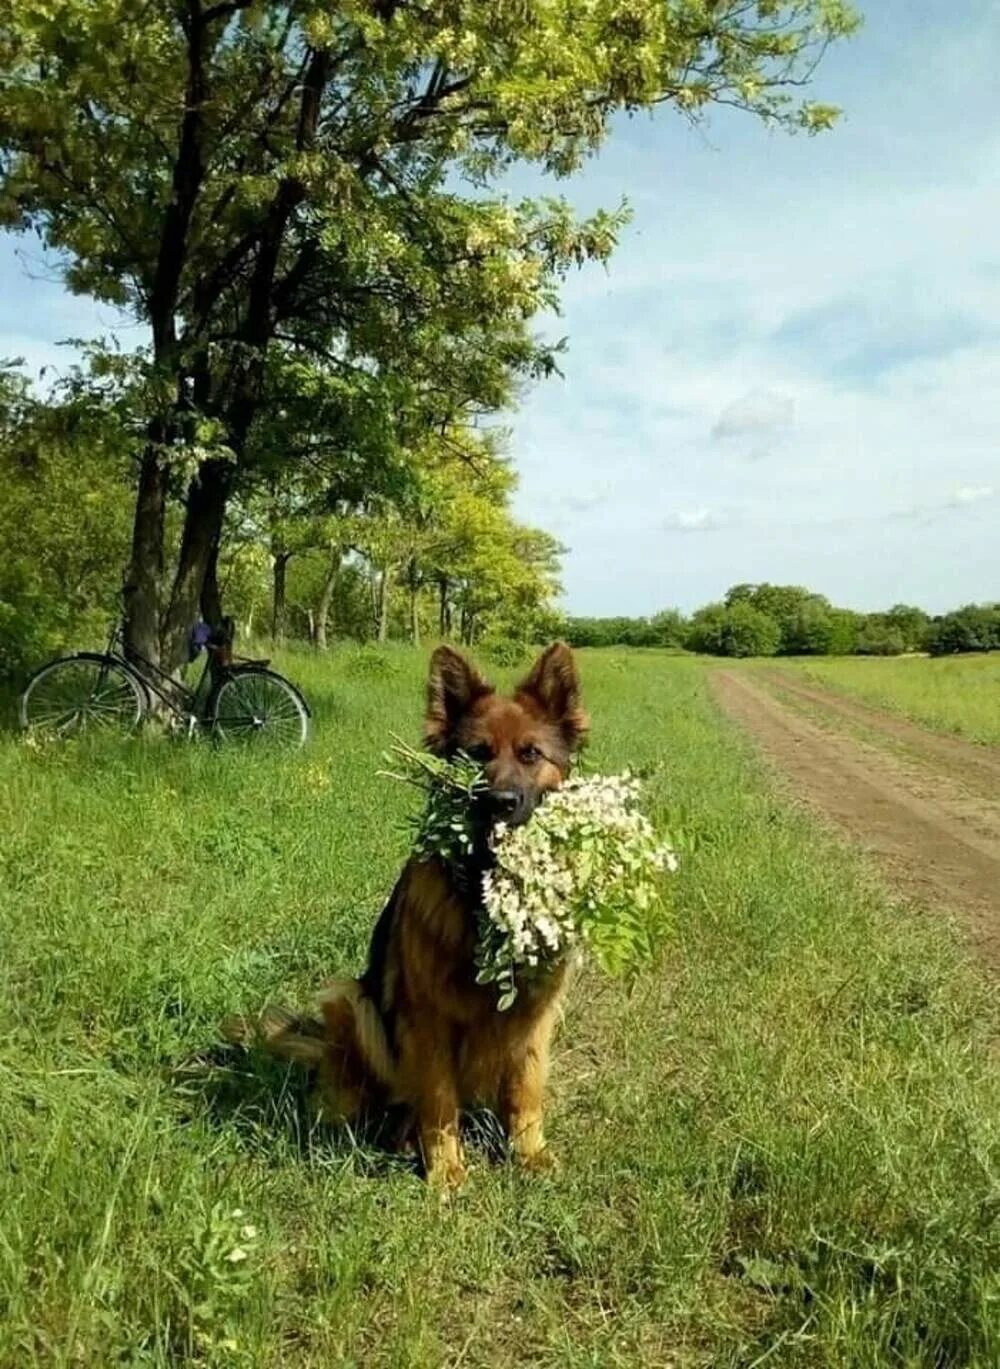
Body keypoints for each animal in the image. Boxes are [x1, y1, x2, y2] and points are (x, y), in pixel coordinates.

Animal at [221, 640, 583, 1188]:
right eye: (476, 755)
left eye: (530, 754)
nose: (500, 803)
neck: (487, 898)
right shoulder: (427, 1021)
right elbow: (438, 1100)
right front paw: (446, 1171)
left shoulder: (534, 1014)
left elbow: (525, 1089)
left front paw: (529, 1153)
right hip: (351, 1001)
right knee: (370, 1091)